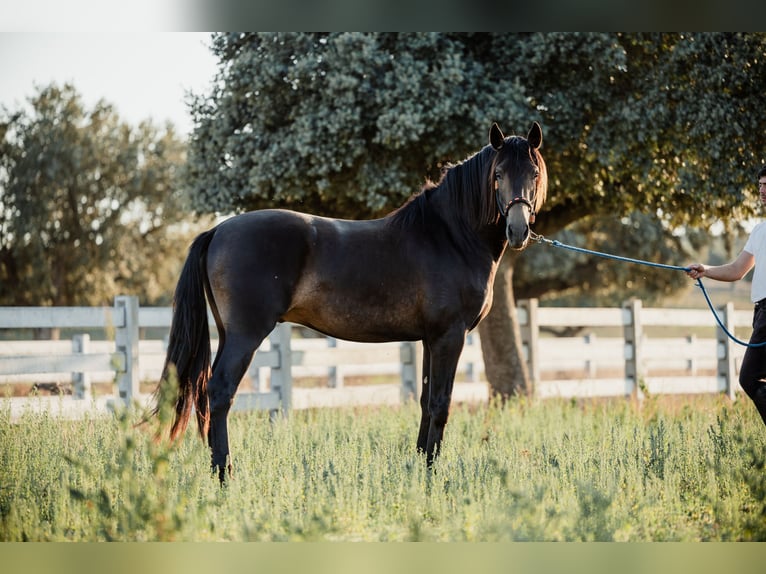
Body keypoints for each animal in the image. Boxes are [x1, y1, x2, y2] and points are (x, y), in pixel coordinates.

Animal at [156, 124, 548, 484]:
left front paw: (418, 468)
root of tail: (218, 230)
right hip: (245, 336)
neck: (448, 236)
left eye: (534, 173)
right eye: (497, 174)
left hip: (227, 334)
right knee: (220, 392)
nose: (518, 231)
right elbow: (440, 404)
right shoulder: (449, 337)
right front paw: (431, 476)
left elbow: (425, 402)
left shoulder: (429, 339)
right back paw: (225, 476)